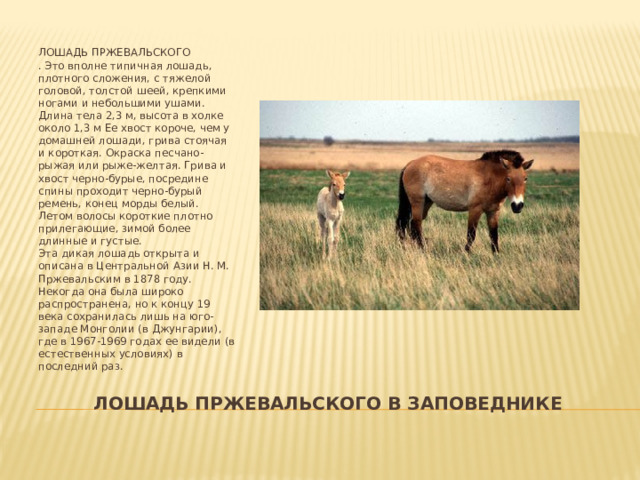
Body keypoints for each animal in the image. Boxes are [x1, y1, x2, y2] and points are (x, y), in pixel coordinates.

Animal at [396, 150, 534, 253]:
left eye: (525, 178)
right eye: (508, 178)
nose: (517, 206)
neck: (488, 177)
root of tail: (410, 164)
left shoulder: (493, 212)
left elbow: (494, 235)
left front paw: (496, 254)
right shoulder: (475, 210)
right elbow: (471, 234)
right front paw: (466, 253)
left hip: (426, 203)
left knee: (411, 226)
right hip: (417, 203)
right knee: (415, 225)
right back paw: (422, 249)